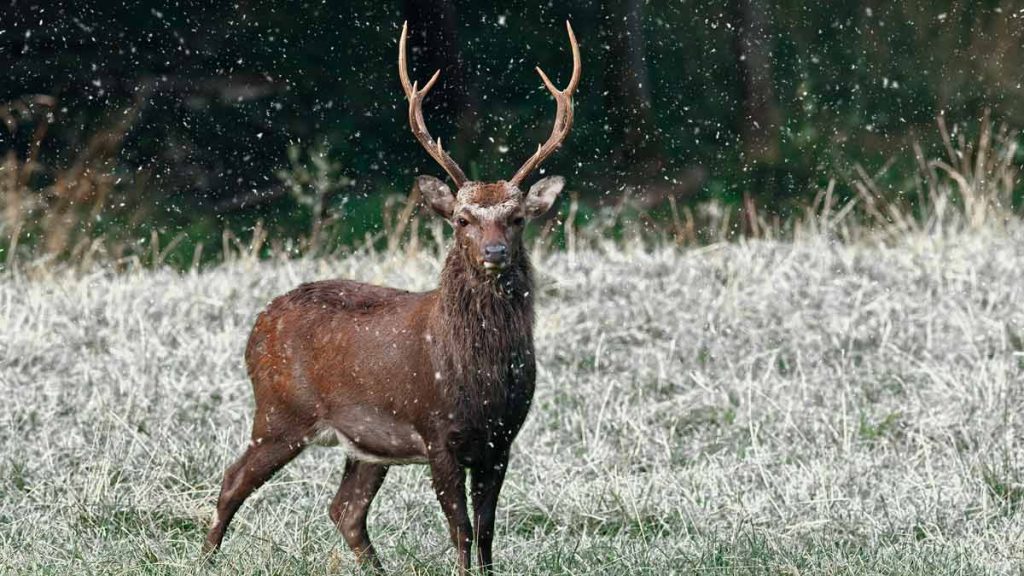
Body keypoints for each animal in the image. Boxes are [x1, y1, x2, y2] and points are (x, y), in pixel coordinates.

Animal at [203, 21, 580, 574]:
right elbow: (461, 531)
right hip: (279, 410)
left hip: (363, 442)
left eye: (516, 218)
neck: (479, 374)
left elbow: (488, 533)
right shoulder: (437, 433)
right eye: (462, 219)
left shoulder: (501, 441)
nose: (494, 252)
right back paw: (203, 557)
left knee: (345, 509)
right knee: (232, 482)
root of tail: (258, 324)